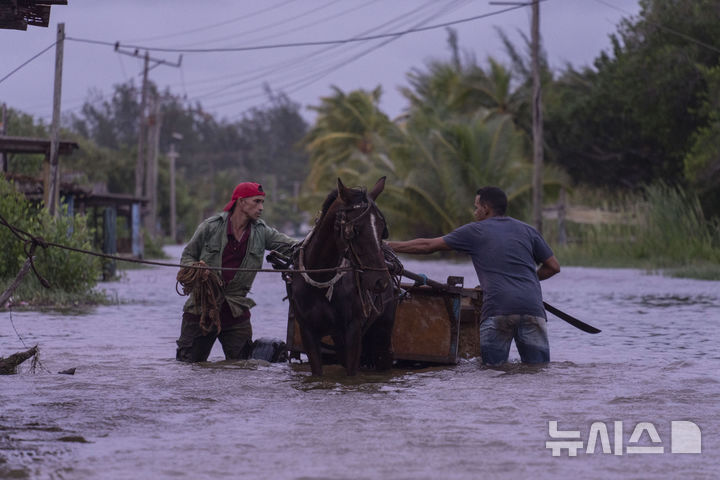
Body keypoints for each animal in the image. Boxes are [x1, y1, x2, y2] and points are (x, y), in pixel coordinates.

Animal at [290, 178, 396, 376]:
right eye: (356, 230)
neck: (322, 278)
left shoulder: (353, 330)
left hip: (383, 332)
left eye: (382, 229)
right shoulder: (308, 332)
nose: (381, 281)